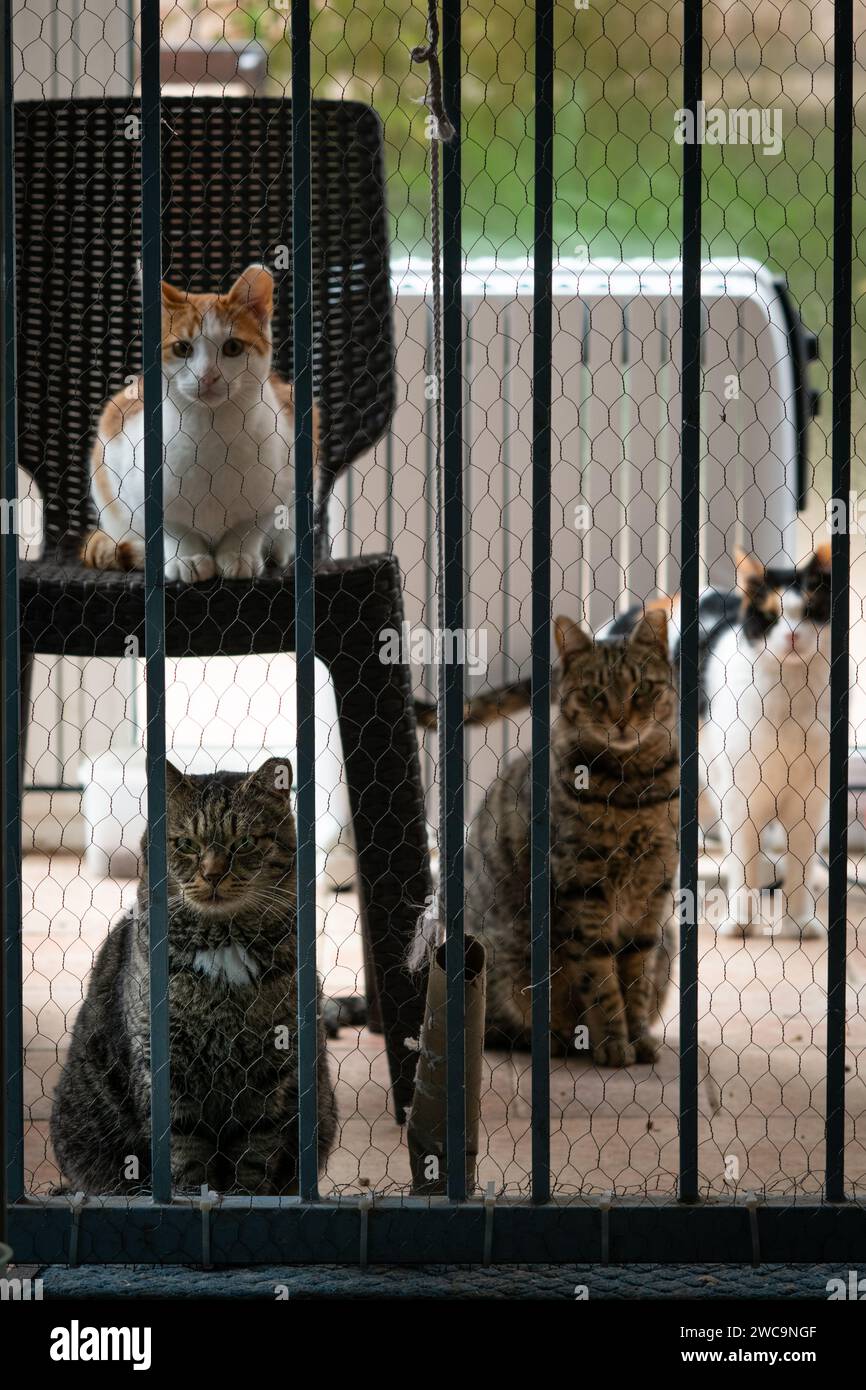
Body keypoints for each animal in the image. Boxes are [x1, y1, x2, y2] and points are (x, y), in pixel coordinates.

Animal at [48, 761, 337, 1195]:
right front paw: (192, 1196)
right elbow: (184, 1156)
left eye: (245, 841)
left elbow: (253, 1156)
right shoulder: (164, 1065)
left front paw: (244, 1198)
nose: (213, 873)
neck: (223, 945)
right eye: (185, 843)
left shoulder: (271, 1071)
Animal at [81, 261, 315, 581]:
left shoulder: (281, 482)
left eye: (232, 348)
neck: (210, 435)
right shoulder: (125, 469)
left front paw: (239, 554)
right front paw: (187, 556)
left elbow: (250, 526)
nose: (207, 376)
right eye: (182, 348)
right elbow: (173, 528)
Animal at [467, 611, 678, 1061]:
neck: (632, 789)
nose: (621, 721)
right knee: (497, 1028)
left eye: (641, 689)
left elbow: (636, 979)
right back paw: (555, 1039)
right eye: (595, 693)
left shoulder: (653, 897)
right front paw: (614, 1043)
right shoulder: (583, 890)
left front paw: (637, 1038)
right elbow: (601, 980)